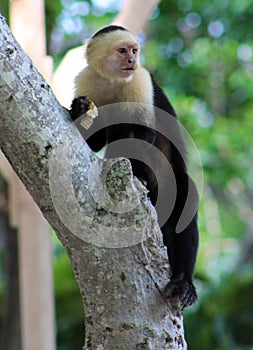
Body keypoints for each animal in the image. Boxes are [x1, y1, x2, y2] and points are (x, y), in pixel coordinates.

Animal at [69, 25, 200, 308]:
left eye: (134, 50)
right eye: (122, 50)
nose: (131, 59)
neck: (113, 81)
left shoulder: (140, 80)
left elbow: (142, 134)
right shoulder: (87, 81)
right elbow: (95, 138)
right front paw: (79, 111)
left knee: (184, 196)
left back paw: (183, 281)